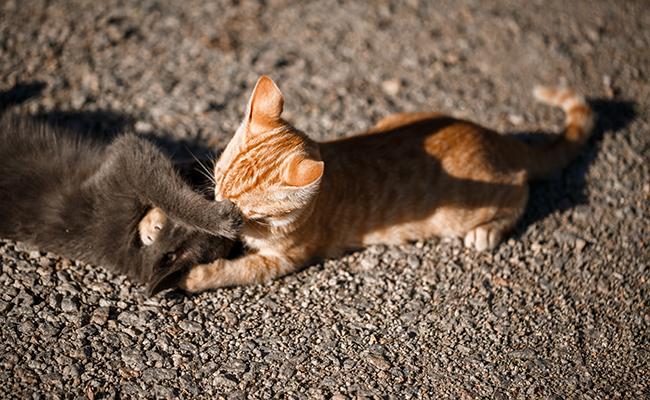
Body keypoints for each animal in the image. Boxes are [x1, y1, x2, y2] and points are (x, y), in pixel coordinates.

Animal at [180, 76, 588, 292]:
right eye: (218, 179)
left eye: (247, 209)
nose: (219, 208)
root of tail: (493, 137)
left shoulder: (283, 260)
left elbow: (238, 270)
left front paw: (195, 275)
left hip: (467, 209)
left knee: (520, 188)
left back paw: (487, 231)